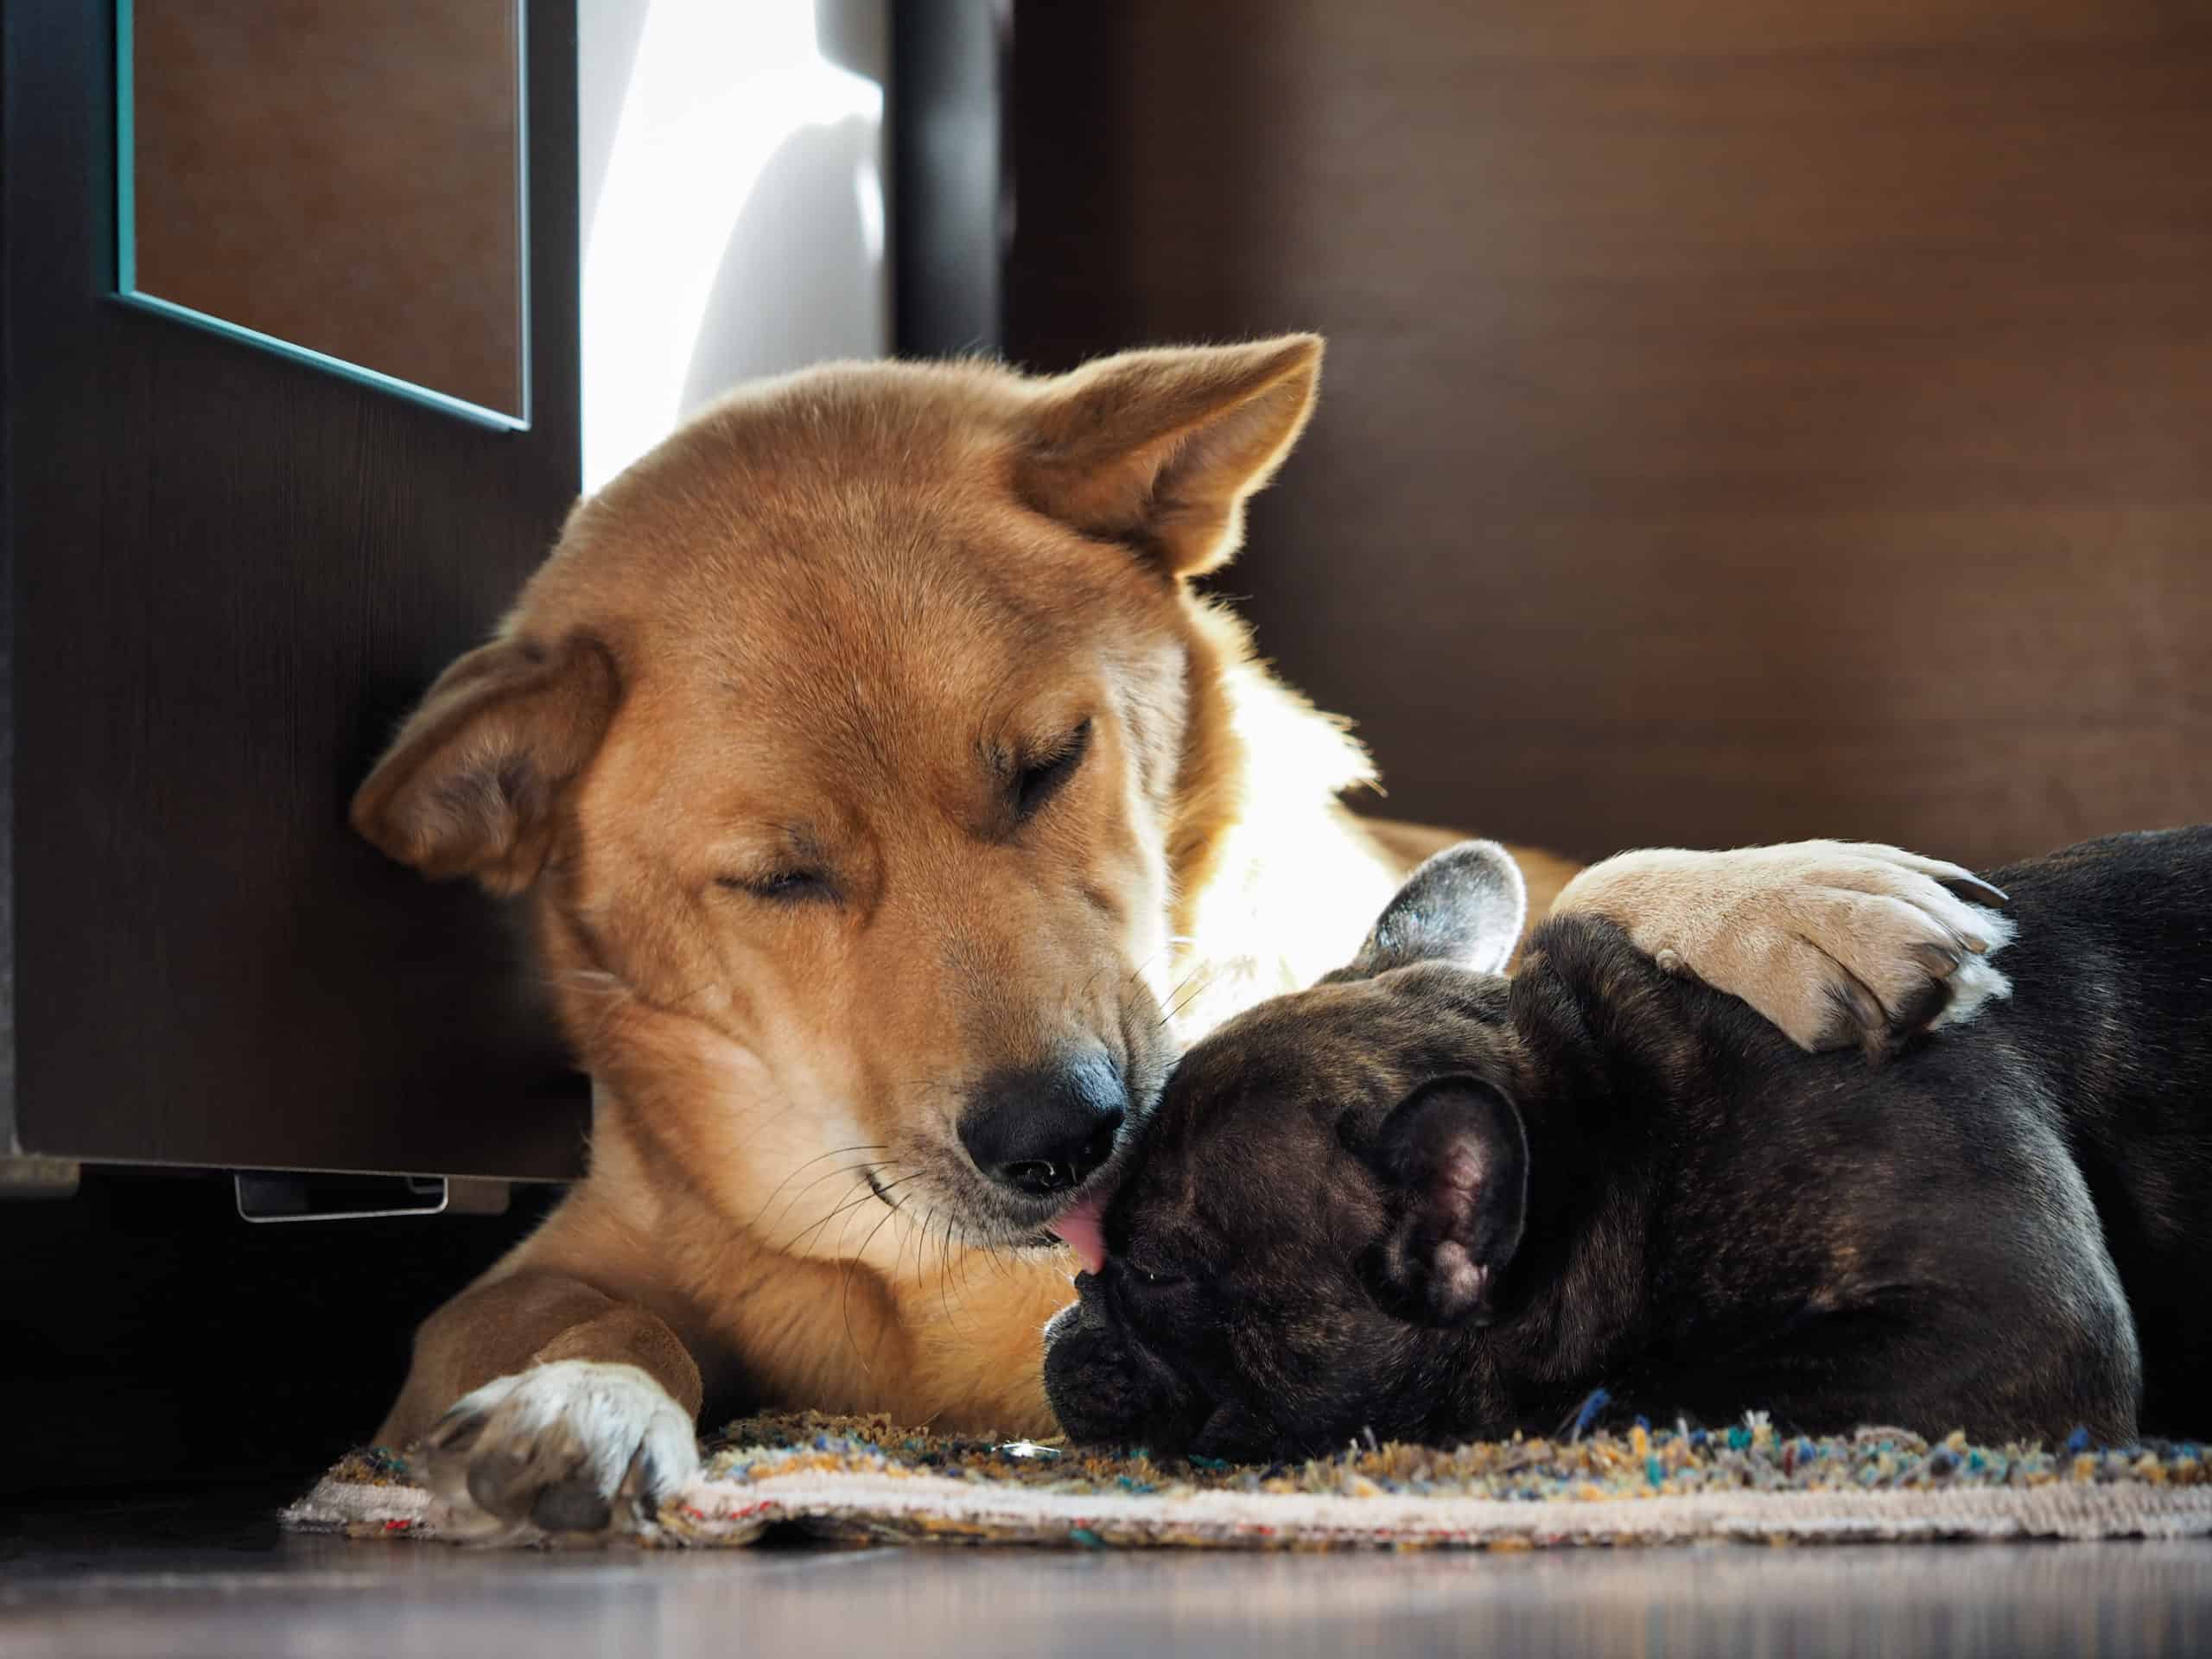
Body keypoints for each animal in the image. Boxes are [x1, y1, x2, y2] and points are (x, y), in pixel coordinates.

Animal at [349, 338, 2008, 1548]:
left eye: (1046, 764)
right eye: (782, 880)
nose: (1061, 1138)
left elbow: (1585, 890)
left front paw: (1776, 896)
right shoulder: (531, 1279)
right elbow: (583, 1314)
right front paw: (582, 1402)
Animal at [1048, 827, 2212, 1451]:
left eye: (1154, 1272)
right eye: (1092, 1256)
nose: (1070, 1312)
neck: (1614, 1142)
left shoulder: (2016, 1322)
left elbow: (1641, 1391)